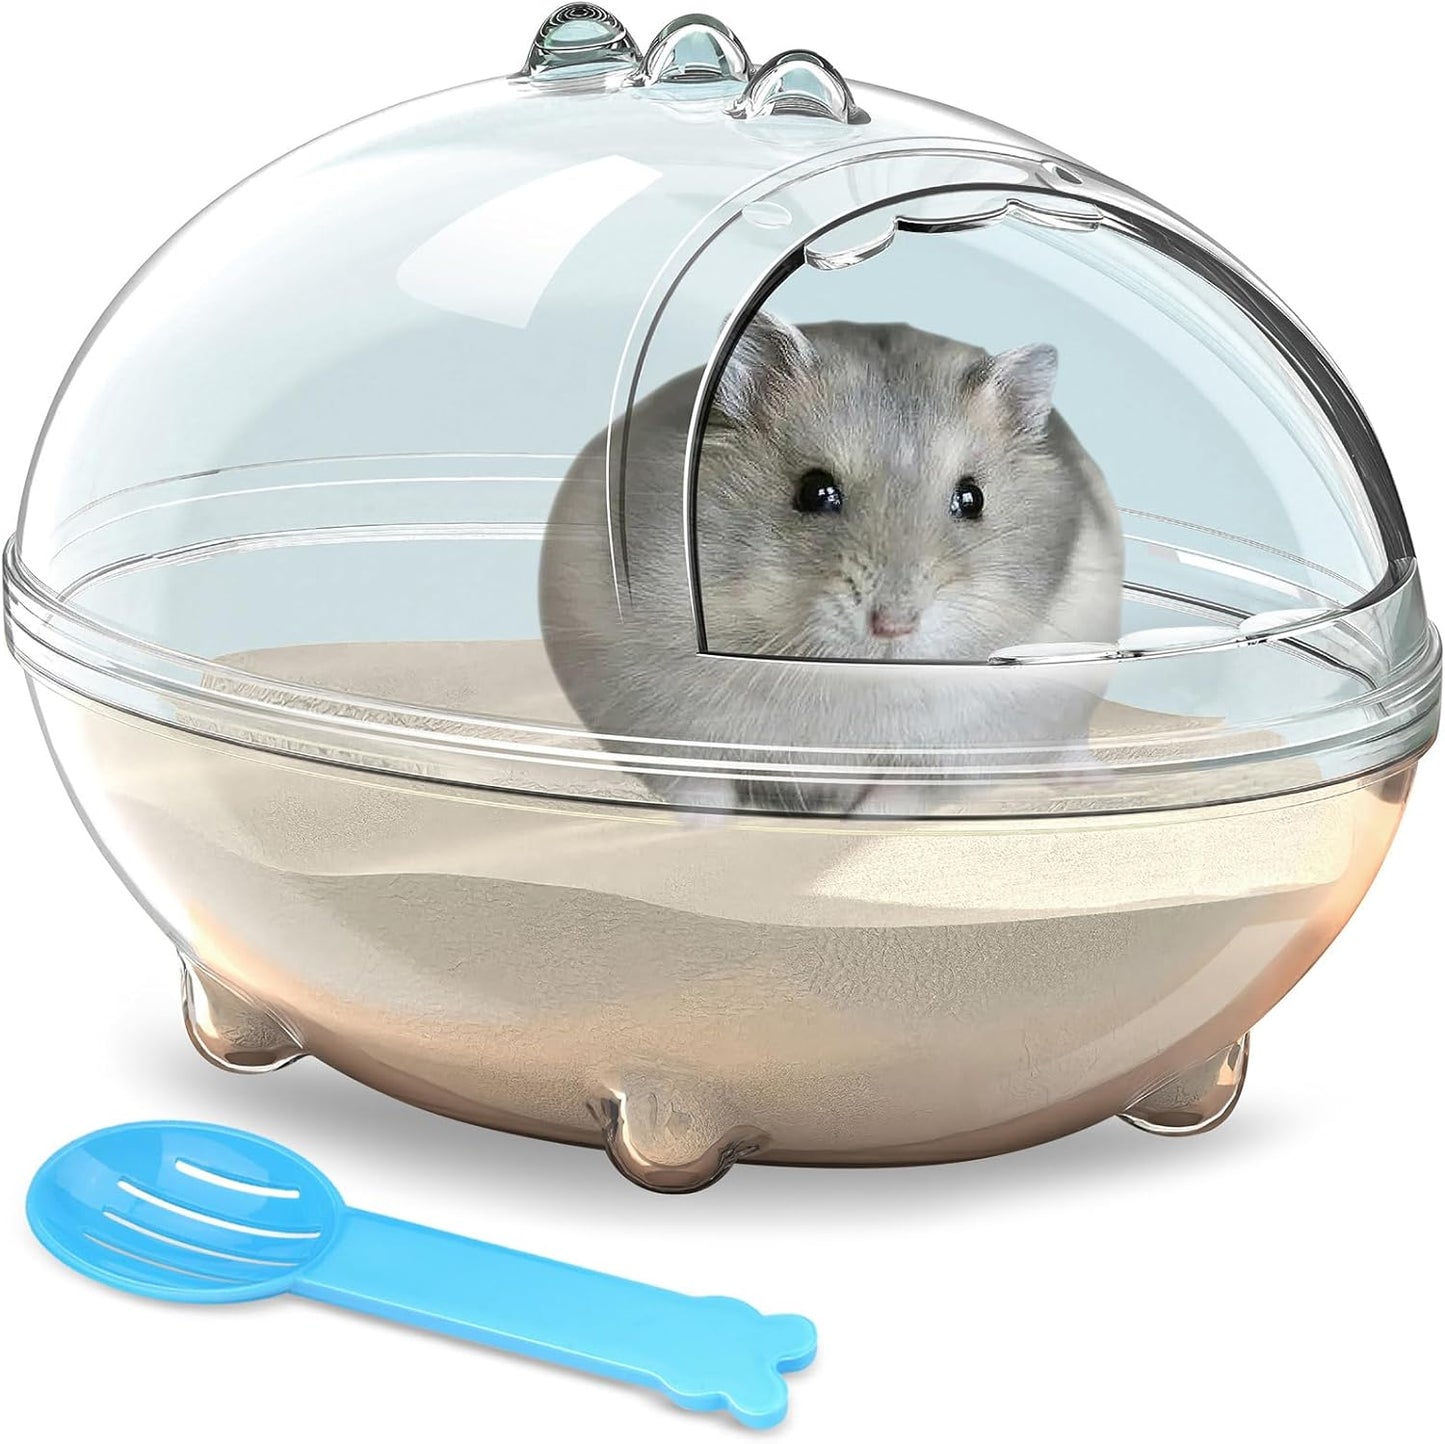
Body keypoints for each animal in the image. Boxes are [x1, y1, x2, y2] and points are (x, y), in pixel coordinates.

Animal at [540, 315, 1124, 814]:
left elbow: (894, 799)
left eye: (973, 498)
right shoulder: (656, 723)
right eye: (814, 491)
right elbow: (699, 790)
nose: (894, 626)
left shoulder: (958, 755)